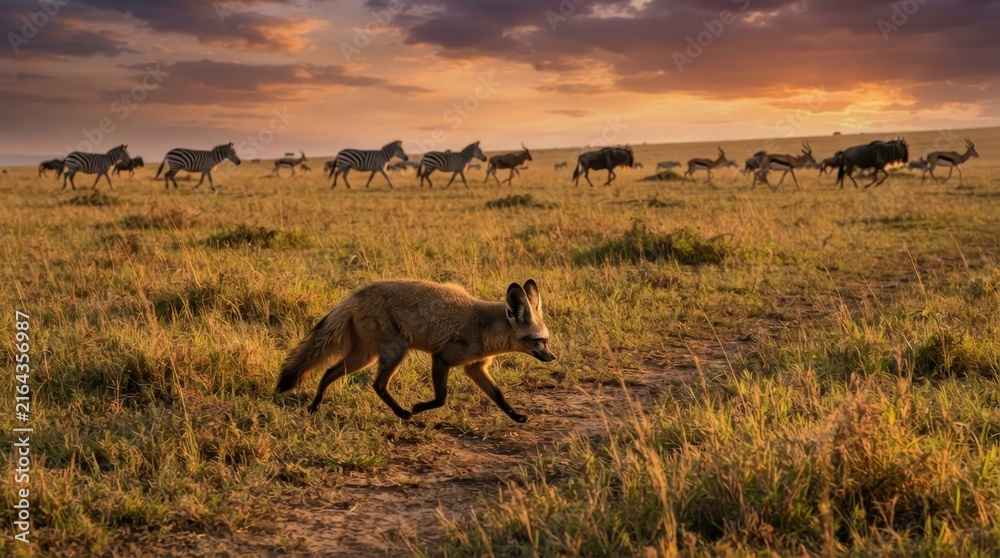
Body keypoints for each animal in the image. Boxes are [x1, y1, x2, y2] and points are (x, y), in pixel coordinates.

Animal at [275, 279, 555, 423]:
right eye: (538, 341)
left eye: (546, 341)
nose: (553, 357)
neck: (482, 327)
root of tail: (356, 294)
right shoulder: (442, 358)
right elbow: (441, 398)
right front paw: (420, 407)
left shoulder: (474, 367)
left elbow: (498, 396)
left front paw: (516, 416)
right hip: (393, 352)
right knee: (376, 384)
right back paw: (402, 413)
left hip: (365, 356)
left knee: (329, 373)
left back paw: (314, 407)